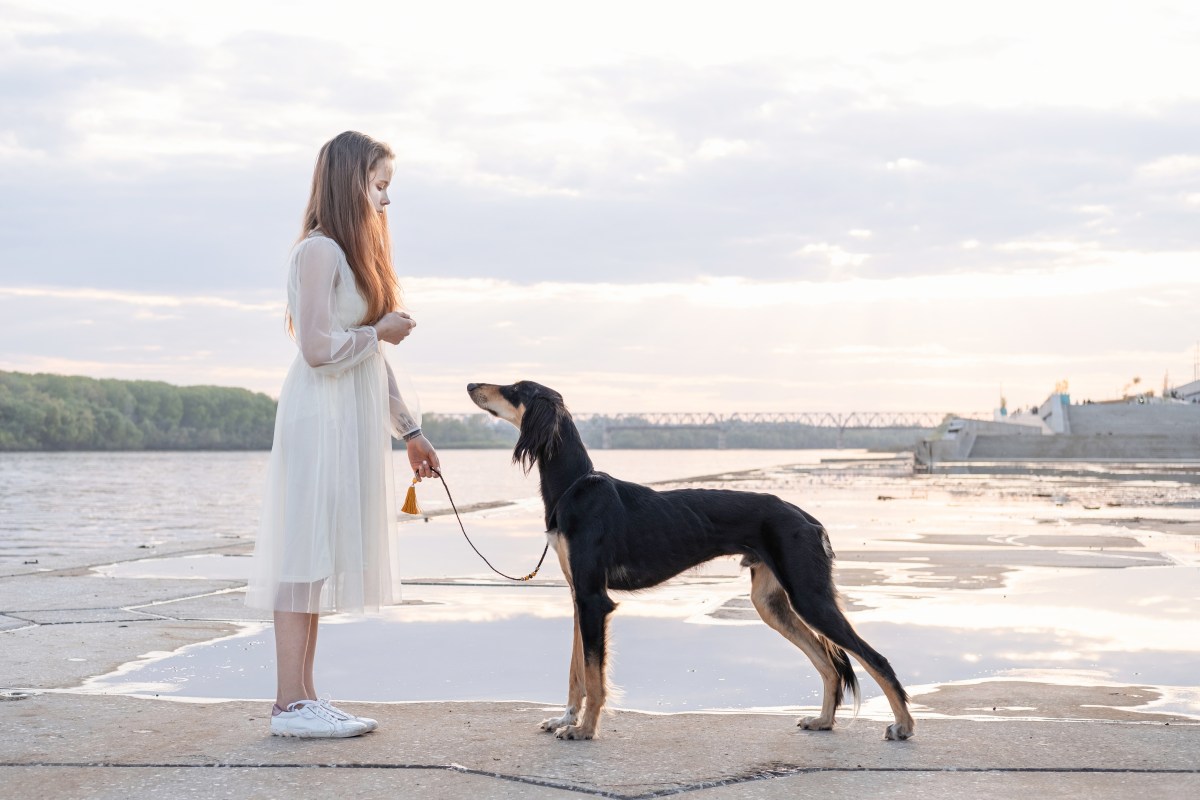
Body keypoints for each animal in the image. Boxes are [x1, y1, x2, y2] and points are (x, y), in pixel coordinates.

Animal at [463, 381, 912, 743]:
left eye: (515, 389)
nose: (470, 385)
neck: (575, 485)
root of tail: (807, 518)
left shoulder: (594, 599)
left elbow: (593, 675)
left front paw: (585, 729)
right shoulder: (579, 597)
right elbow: (576, 671)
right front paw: (565, 719)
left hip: (807, 595)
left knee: (874, 658)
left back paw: (904, 725)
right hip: (771, 603)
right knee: (829, 663)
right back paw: (823, 721)